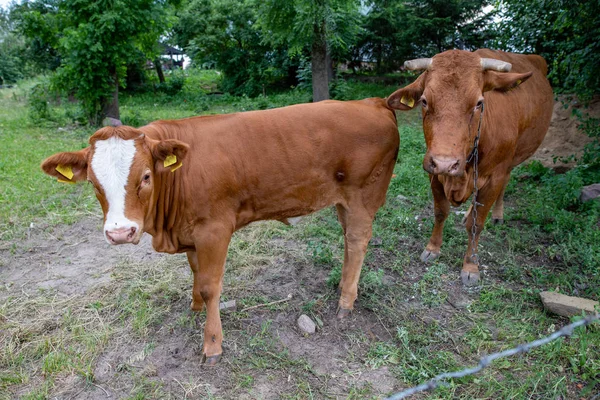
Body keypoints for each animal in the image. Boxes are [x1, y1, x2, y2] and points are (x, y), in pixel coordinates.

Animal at [41, 98, 398, 364]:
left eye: (145, 176)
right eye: (94, 183)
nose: (119, 232)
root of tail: (372, 102)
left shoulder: (214, 230)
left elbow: (211, 285)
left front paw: (212, 343)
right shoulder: (190, 232)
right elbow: (195, 270)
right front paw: (195, 306)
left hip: (364, 195)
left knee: (357, 240)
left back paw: (346, 300)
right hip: (343, 202)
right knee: (349, 241)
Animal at [386, 49, 552, 284]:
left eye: (479, 103)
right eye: (425, 101)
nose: (446, 163)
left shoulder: (494, 177)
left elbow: (478, 224)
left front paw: (471, 265)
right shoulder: (434, 174)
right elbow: (440, 211)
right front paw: (432, 248)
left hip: (512, 160)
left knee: (504, 183)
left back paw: (497, 214)